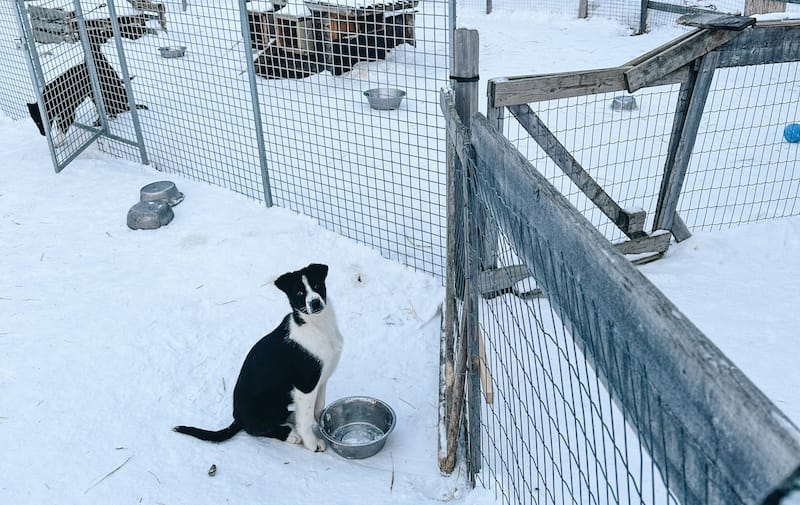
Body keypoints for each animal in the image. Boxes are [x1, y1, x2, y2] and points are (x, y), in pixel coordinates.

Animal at [177, 262, 342, 450]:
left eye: (317, 285)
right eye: (300, 293)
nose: (315, 303)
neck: (316, 326)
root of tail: (237, 419)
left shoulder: (321, 379)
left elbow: (318, 408)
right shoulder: (305, 384)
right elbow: (306, 419)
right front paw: (312, 444)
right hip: (264, 405)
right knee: (257, 428)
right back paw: (291, 435)